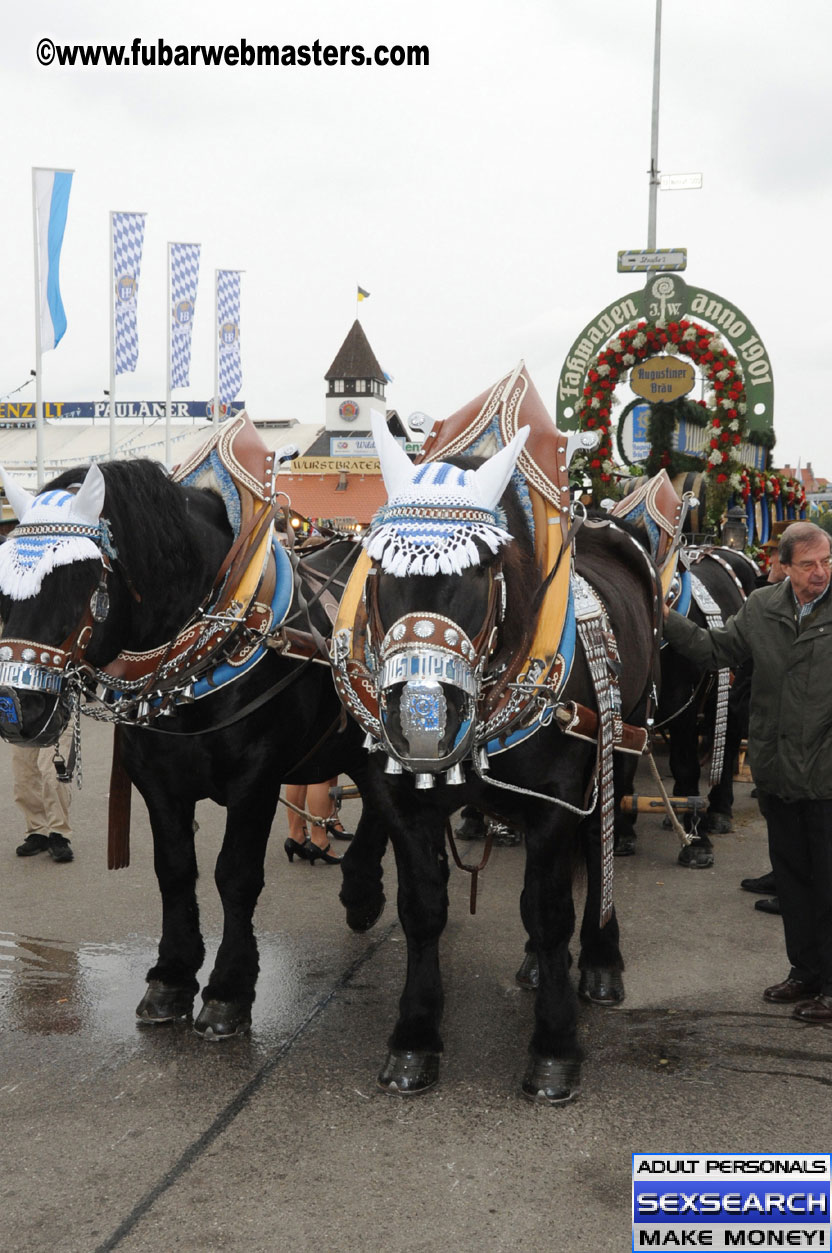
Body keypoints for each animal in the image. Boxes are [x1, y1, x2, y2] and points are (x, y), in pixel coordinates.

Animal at [0, 461, 373, 1037]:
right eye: (4, 585)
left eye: (76, 578)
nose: (11, 707)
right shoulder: (157, 779)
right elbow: (174, 870)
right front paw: (172, 978)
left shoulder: (256, 779)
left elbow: (235, 875)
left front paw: (228, 991)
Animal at [340, 433, 661, 1107]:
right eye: (378, 570)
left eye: (480, 574)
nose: (421, 716)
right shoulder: (404, 803)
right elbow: (422, 908)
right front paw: (414, 1038)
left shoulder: (556, 800)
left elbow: (548, 910)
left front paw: (555, 1049)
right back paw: (541, 964)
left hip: (619, 747)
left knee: (598, 849)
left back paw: (599, 960)